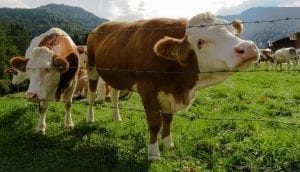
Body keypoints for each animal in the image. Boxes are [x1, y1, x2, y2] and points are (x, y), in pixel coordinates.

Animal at [85, 12, 258, 161]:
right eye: (200, 42)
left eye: (234, 33)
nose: (249, 48)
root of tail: (98, 28)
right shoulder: (147, 90)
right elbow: (155, 123)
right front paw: (154, 154)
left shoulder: (168, 93)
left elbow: (168, 119)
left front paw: (168, 143)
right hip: (91, 67)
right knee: (91, 95)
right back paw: (90, 118)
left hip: (115, 74)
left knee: (114, 94)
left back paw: (117, 118)